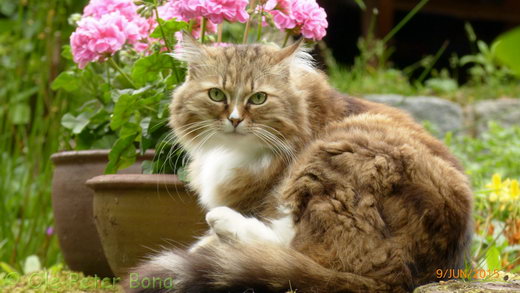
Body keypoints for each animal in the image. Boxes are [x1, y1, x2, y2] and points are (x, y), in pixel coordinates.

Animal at [124, 34, 474, 292]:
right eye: (216, 94)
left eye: (258, 98)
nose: (234, 120)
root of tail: (408, 275)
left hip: (334, 160)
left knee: (301, 251)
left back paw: (222, 224)